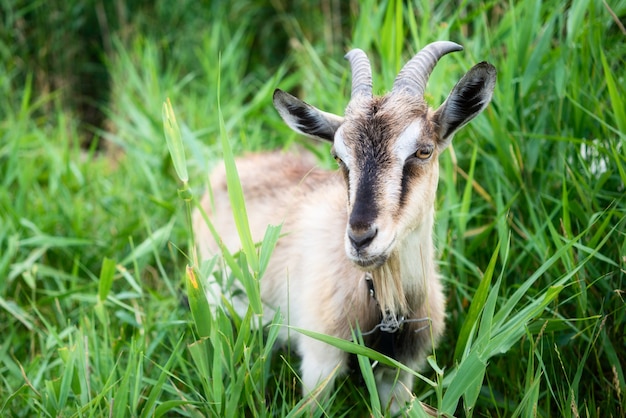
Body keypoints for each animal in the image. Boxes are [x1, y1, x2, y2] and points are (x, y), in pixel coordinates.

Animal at [193, 40, 494, 414]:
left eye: (423, 151)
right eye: (339, 156)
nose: (361, 238)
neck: (385, 308)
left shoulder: (399, 377)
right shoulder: (319, 364)